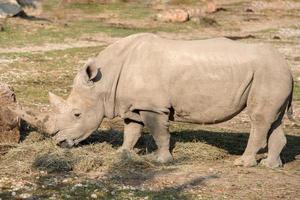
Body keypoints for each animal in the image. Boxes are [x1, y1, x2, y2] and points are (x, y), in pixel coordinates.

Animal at [14, 33, 292, 168]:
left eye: (77, 114)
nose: (59, 142)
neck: (105, 82)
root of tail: (287, 65)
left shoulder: (153, 106)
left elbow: (158, 132)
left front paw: (161, 161)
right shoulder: (132, 104)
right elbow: (132, 130)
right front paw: (123, 154)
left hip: (268, 73)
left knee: (259, 119)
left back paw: (243, 164)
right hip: (273, 74)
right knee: (273, 120)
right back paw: (271, 166)